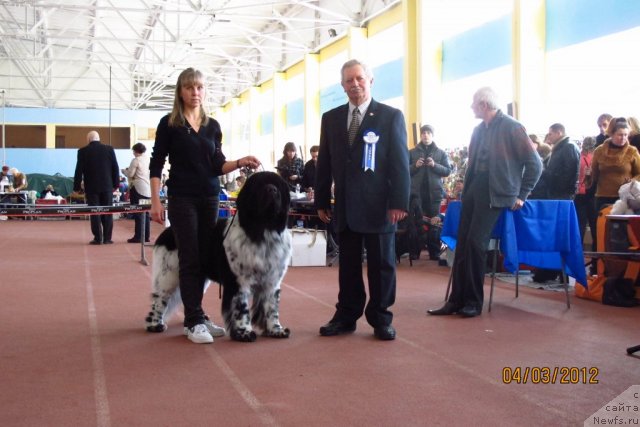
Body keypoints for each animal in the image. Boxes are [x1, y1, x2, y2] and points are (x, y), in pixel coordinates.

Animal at [145, 172, 292, 342]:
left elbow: (272, 308)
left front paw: (276, 330)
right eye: (259, 185)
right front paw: (244, 332)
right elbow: (241, 309)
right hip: (168, 275)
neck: (262, 231)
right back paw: (155, 325)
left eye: (278, 185)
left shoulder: (272, 281)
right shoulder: (238, 282)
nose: (271, 190)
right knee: (159, 299)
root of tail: (167, 232)